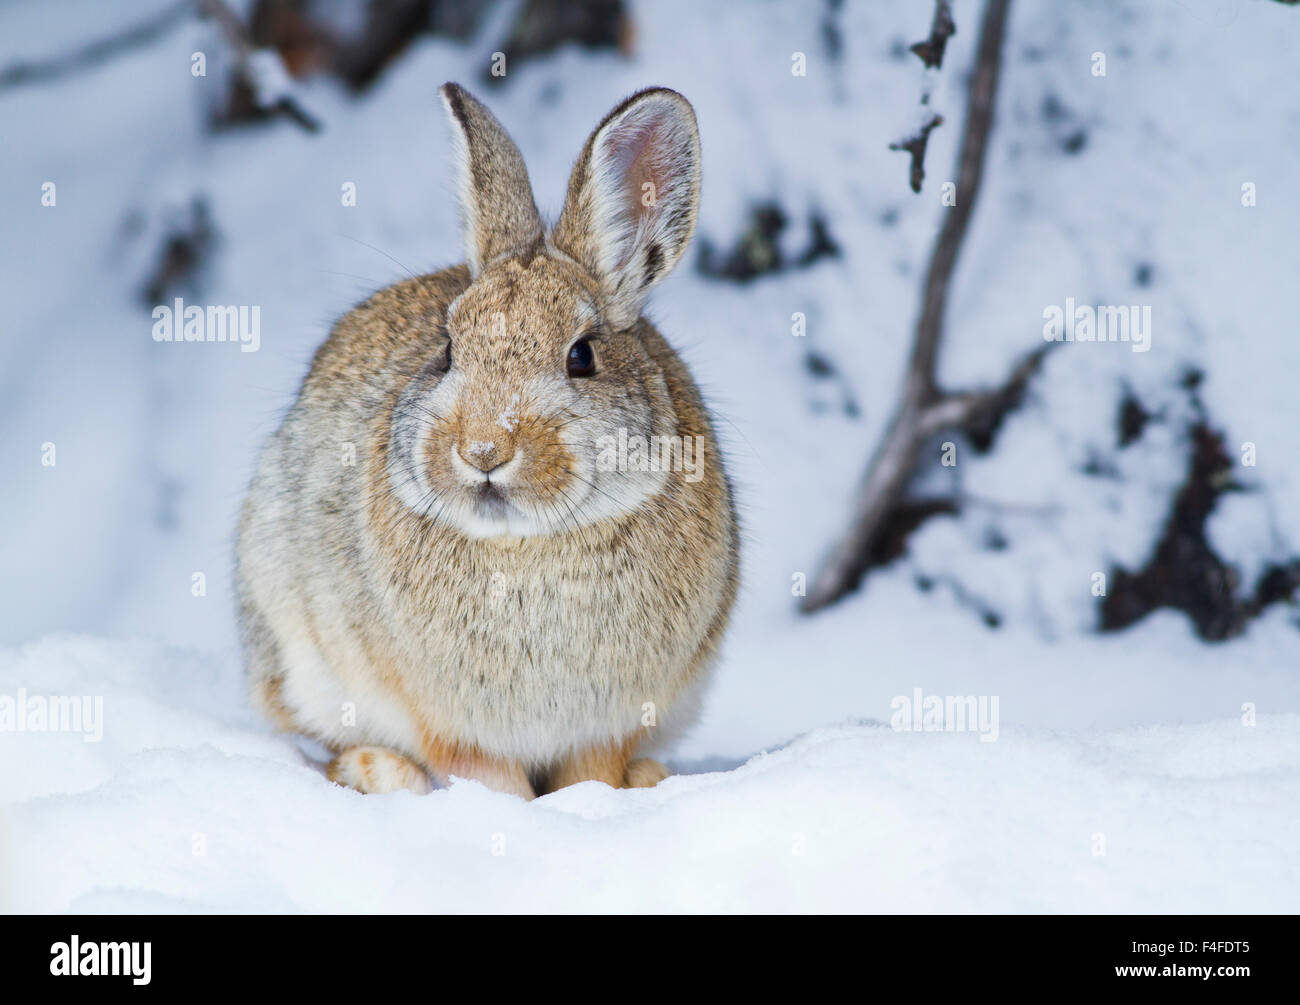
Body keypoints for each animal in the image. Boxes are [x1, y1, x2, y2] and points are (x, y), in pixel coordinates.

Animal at [236, 82, 743, 795]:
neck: (531, 543)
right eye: (448, 351)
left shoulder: (606, 727)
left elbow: (591, 775)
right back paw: (382, 772)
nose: (481, 452)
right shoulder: (454, 727)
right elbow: (486, 778)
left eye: (582, 357)